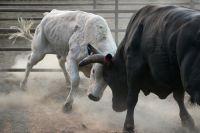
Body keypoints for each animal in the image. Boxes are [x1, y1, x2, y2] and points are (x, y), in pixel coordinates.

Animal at [79, 4, 200, 132]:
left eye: (108, 78)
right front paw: (188, 122)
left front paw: (128, 126)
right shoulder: (175, 79)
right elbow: (179, 98)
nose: (116, 107)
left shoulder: (134, 72)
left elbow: (132, 99)